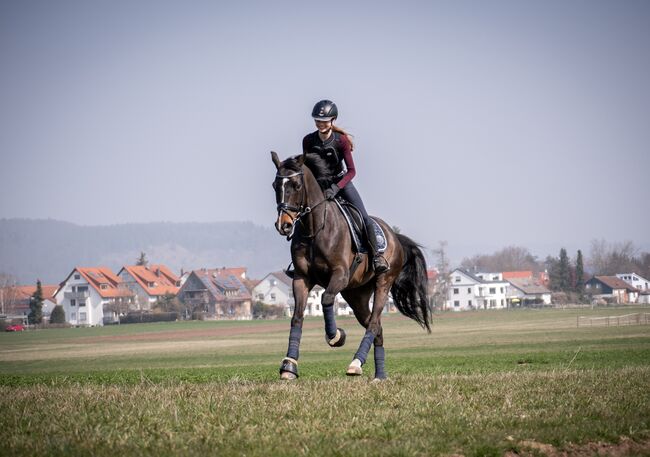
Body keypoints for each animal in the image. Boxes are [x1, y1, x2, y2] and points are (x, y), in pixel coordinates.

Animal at [270, 151, 430, 380]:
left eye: (297, 185)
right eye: (275, 185)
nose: (283, 225)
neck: (315, 228)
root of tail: (395, 237)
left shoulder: (339, 274)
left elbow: (326, 299)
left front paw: (337, 336)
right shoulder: (301, 278)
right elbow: (297, 317)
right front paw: (289, 366)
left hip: (383, 283)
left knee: (373, 323)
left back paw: (356, 363)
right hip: (356, 296)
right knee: (377, 328)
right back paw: (379, 375)